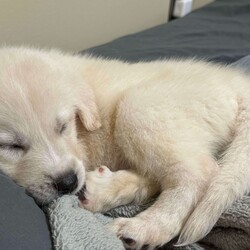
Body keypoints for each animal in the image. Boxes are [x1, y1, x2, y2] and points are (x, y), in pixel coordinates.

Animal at [0, 46, 249, 248]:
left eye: (63, 127)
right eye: (11, 146)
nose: (68, 182)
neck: (79, 134)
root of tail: (236, 83)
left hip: (138, 108)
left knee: (198, 172)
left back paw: (144, 227)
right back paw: (101, 191)